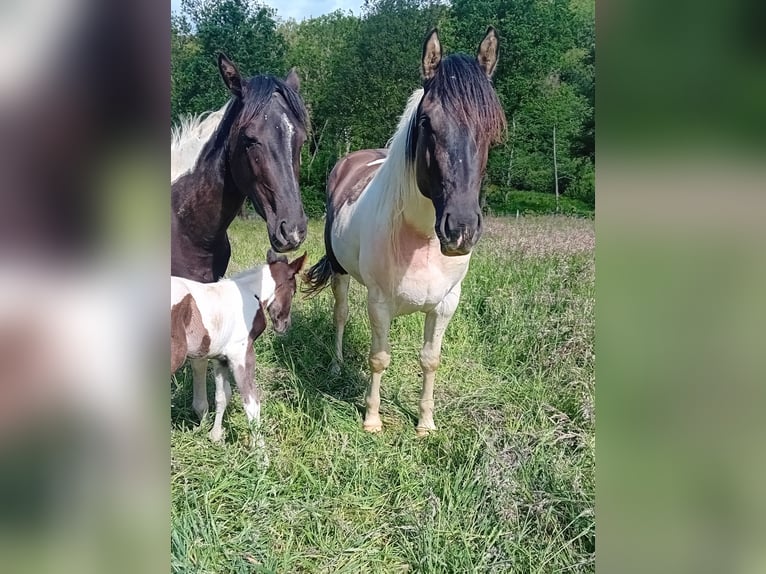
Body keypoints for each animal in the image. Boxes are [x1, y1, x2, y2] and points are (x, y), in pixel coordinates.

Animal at [172, 251, 308, 446]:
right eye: (294, 291)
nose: (284, 325)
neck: (250, 294)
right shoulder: (242, 355)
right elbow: (252, 403)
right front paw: (260, 451)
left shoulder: (220, 357)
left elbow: (222, 396)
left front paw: (215, 436)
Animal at [304, 28, 508, 436]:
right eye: (427, 122)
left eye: (491, 130)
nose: (460, 230)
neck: (421, 238)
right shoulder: (379, 301)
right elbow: (379, 358)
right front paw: (371, 419)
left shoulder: (446, 304)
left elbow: (430, 359)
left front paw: (426, 423)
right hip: (340, 273)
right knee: (340, 314)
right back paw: (336, 365)